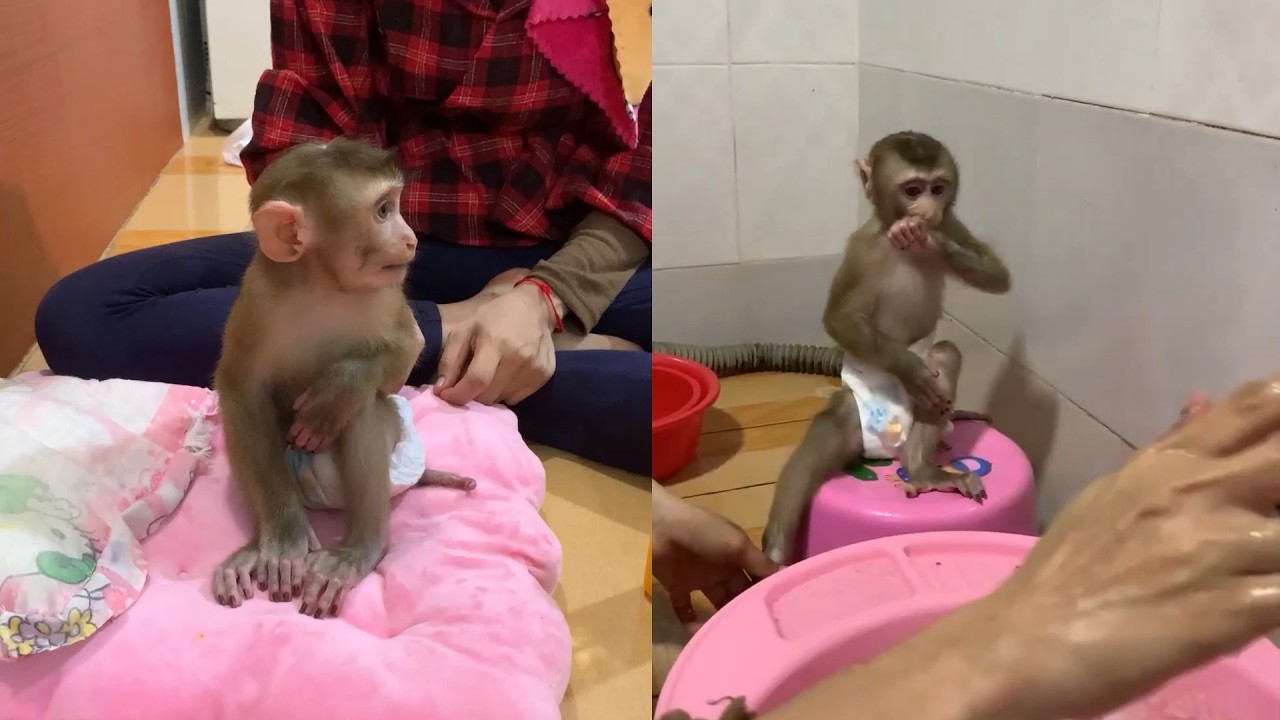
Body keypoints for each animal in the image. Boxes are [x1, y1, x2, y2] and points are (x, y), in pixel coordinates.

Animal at [211, 137, 474, 618]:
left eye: (394, 205)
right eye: (384, 211)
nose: (410, 239)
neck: (324, 285)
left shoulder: (386, 292)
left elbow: (406, 351)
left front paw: (341, 387)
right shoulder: (258, 296)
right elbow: (241, 392)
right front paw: (283, 536)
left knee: (365, 411)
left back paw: (359, 550)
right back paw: (255, 548)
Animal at [761, 131, 1011, 566]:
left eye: (938, 188)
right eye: (912, 189)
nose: (927, 209)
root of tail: (889, 451)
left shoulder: (953, 222)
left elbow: (997, 275)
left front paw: (929, 239)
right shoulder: (862, 249)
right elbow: (839, 319)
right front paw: (909, 370)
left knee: (944, 357)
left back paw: (923, 469)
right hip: (860, 416)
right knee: (834, 419)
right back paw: (774, 555)